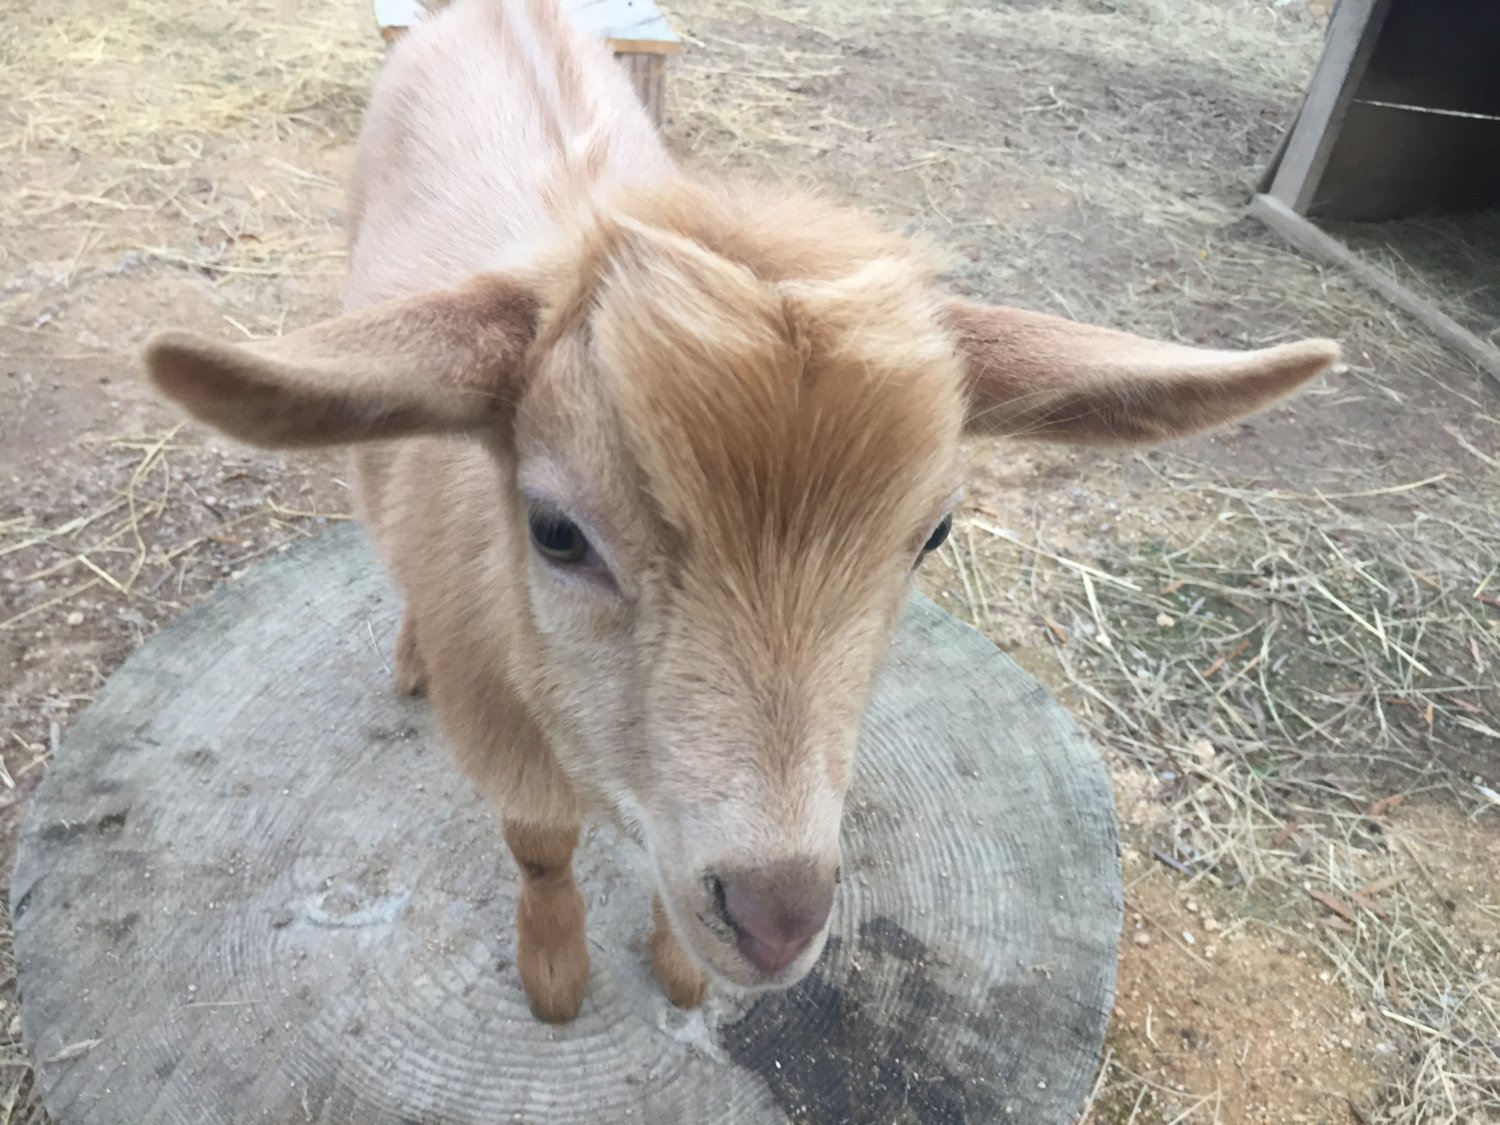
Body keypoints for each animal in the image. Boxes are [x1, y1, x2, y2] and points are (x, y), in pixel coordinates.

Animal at [141, 0, 1338, 1026]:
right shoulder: (500, 722)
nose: (776, 918)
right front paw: (555, 975)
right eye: (556, 532)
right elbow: (539, 845)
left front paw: (676, 968)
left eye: (936, 533)